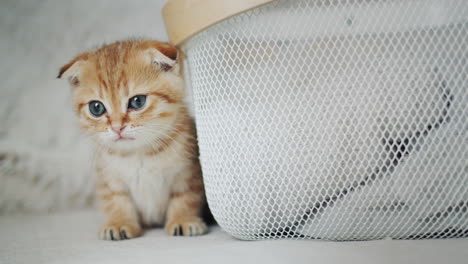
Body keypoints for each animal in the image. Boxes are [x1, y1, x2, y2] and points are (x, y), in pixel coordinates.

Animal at [57, 40, 207, 240]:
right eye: (96, 108)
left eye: (137, 101)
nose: (117, 127)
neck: (139, 153)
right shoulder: (109, 179)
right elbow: (117, 201)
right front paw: (119, 223)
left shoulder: (188, 173)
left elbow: (185, 197)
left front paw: (183, 219)